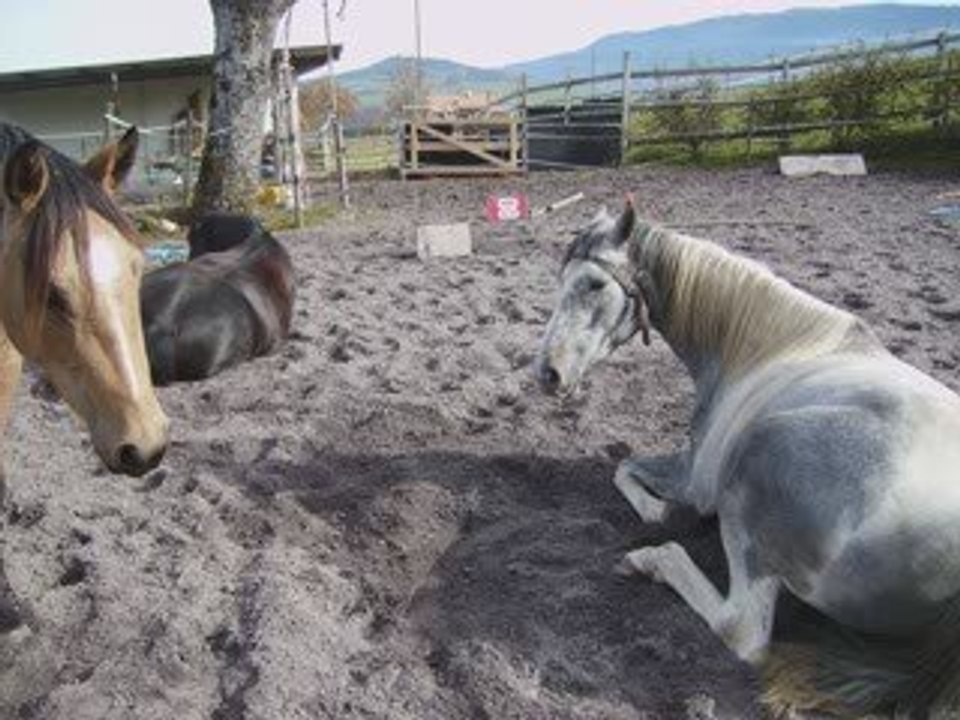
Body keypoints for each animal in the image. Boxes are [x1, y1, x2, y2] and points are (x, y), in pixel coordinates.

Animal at [534, 198, 960, 718]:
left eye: (594, 285)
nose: (547, 374)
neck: (763, 349)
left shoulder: (696, 479)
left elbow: (624, 468)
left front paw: (661, 513)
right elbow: (624, 466)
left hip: (755, 460)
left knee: (740, 629)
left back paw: (651, 559)